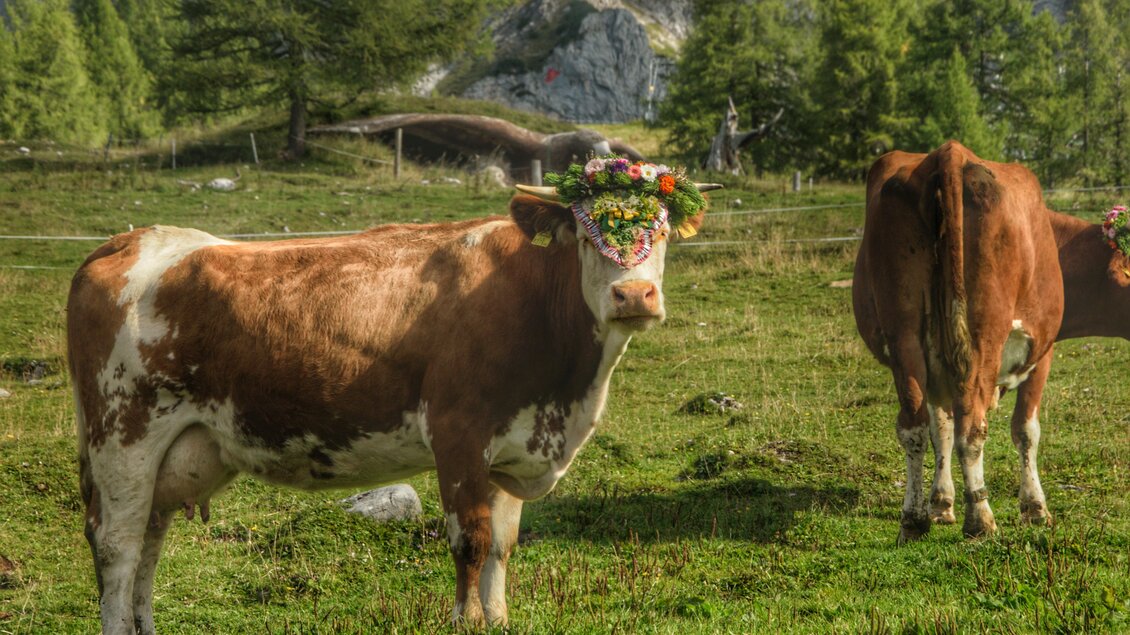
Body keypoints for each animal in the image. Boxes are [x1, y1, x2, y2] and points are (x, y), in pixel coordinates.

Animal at [68, 180, 715, 634]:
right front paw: (467, 623)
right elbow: (471, 541)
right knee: (118, 545)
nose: (633, 295)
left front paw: (498, 620)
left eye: (661, 235)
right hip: (122, 434)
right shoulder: (459, 434)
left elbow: (502, 545)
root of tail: (131, 240)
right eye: (585, 236)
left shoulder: (512, 447)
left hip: (171, 454)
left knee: (148, 541)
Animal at [852, 141, 1065, 544]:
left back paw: (914, 519)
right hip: (983, 337)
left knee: (914, 426)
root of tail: (949, 154)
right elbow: (1025, 430)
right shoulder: (1041, 354)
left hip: (905, 333)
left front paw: (940, 504)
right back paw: (980, 519)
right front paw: (1035, 508)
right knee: (973, 425)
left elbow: (941, 431)